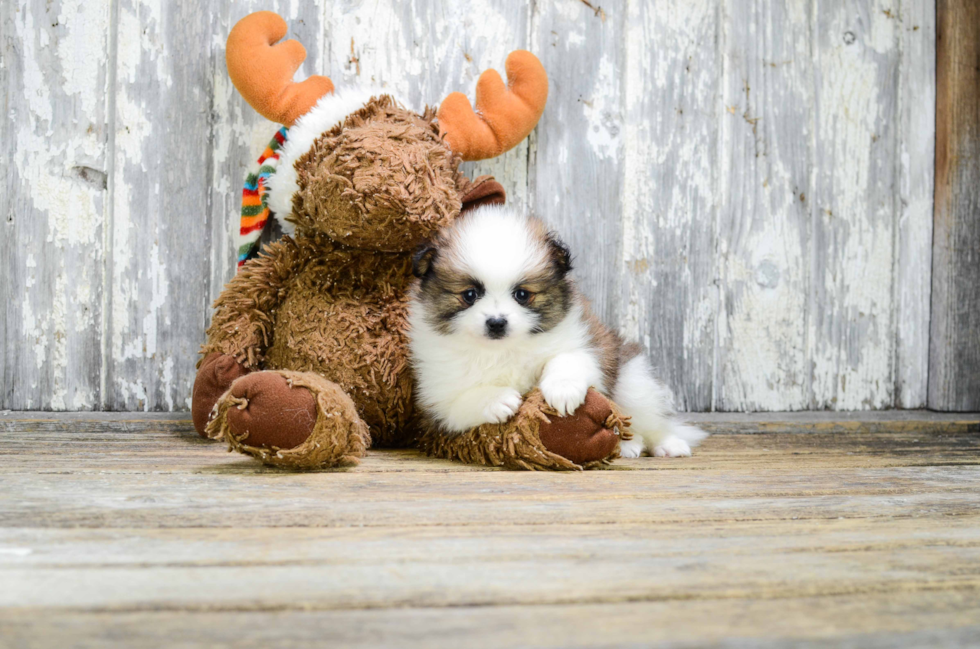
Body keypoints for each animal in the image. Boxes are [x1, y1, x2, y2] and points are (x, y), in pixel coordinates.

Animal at [406, 205, 704, 458]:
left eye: (522, 294)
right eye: (469, 295)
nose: (497, 322)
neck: (502, 350)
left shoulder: (585, 345)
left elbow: (568, 360)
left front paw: (562, 390)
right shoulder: (437, 399)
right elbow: (461, 401)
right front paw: (497, 399)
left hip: (634, 380)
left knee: (650, 421)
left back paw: (664, 444)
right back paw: (628, 446)